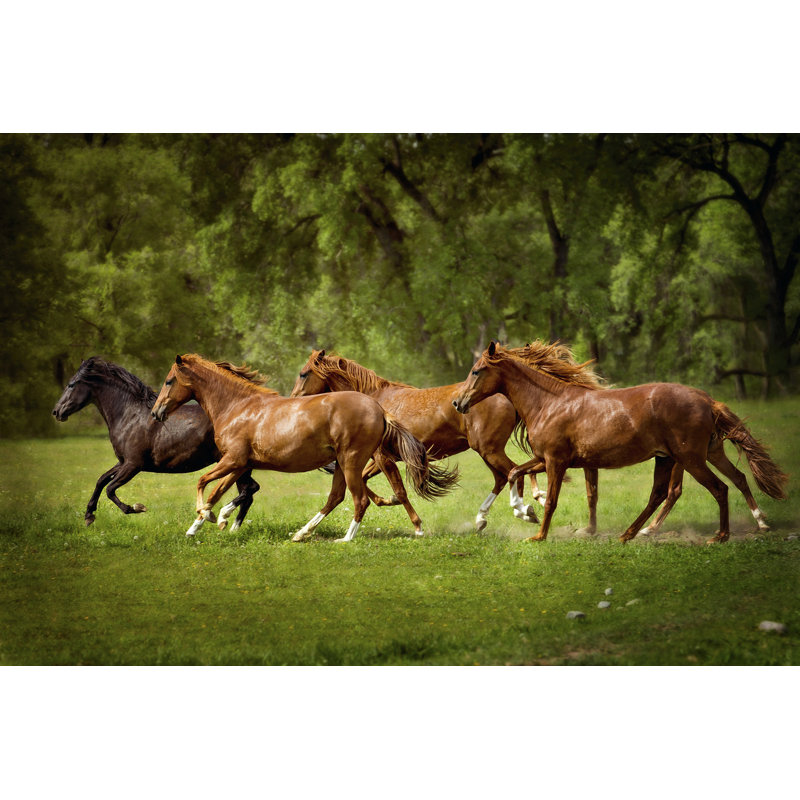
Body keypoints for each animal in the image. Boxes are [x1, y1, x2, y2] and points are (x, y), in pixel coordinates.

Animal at [52, 357, 260, 528]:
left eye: (71, 384)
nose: (56, 412)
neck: (129, 415)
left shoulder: (133, 464)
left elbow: (110, 489)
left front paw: (136, 508)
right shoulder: (123, 462)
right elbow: (101, 480)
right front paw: (89, 515)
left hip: (234, 464)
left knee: (250, 489)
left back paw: (217, 517)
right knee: (249, 493)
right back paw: (230, 528)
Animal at [151, 354, 458, 541]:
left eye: (169, 380)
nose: (156, 413)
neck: (238, 407)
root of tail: (379, 410)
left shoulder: (233, 460)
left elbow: (203, 483)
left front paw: (208, 517)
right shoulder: (240, 463)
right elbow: (218, 491)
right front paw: (205, 523)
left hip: (351, 461)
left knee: (360, 500)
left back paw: (345, 538)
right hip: (343, 464)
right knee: (335, 498)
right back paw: (301, 533)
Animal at [291, 348, 603, 533]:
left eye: (303, 373)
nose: (292, 401)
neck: (374, 400)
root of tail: (504, 395)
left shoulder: (382, 457)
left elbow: (394, 488)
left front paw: (415, 523)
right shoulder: (384, 458)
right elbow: (370, 483)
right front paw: (386, 500)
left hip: (488, 449)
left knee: (514, 472)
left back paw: (525, 509)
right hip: (485, 451)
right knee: (504, 476)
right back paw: (484, 518)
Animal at [453, 341, 788, 544]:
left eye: (476, 371)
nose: (458, 402)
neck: (548, 403)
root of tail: (708, 400)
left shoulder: (556, 461)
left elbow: (551, 500)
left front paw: (538, 534)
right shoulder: (546, 458)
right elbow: (514, 473)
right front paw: (521, 512)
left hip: (691, 459)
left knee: (718, 488)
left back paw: (720, 535)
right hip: (679, 456)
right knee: (669, 492)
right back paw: (629, 534)